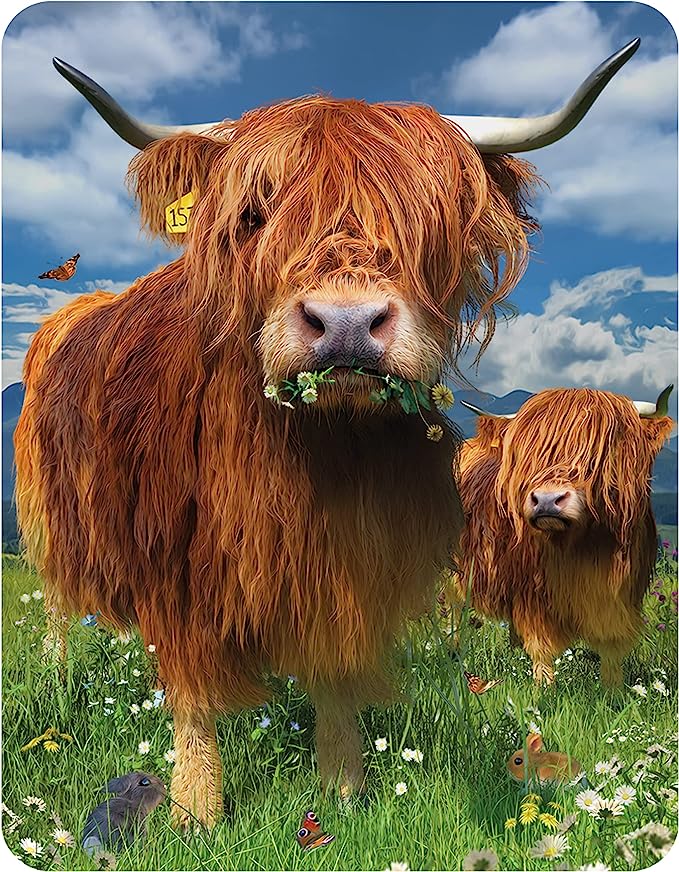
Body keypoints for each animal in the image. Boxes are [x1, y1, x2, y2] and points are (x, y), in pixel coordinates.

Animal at [14, 41, 639, 827]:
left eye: (431, 219)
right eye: (254, 215)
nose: (344, 323)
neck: (316, 454)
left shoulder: (353, 555)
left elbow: (337, 673)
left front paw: (343, 790)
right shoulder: (174, 561)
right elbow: (191, 690)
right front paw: (195, 812)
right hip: (49, 528)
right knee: (60, 613)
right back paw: (60, 678)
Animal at [450, 386, 674, 686]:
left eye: (600, 452)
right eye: (528, 455)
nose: (546, 500)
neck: (583, 548)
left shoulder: (621, 595)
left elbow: (612, 648)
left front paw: (613, 690)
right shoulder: (531, 595)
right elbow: (541, 647)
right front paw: (544, 689)